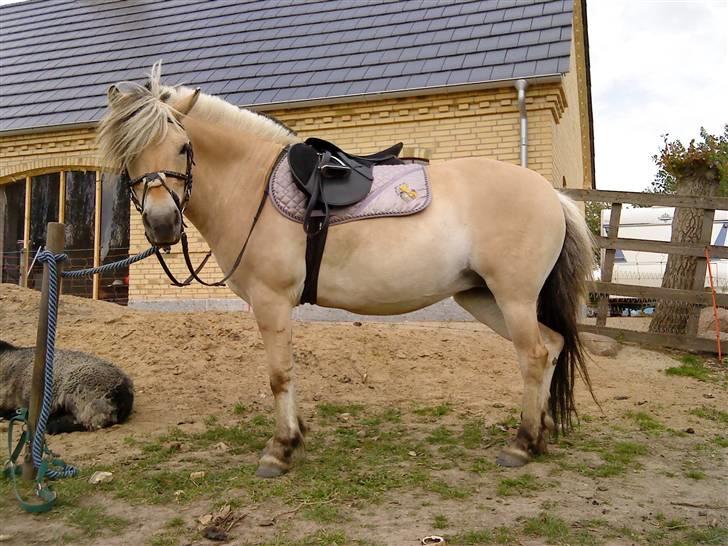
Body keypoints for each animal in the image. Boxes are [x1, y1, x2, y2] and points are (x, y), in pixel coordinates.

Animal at [96, 65, 596, 476]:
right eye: (129, 157)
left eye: (183, 148)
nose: (162, 225)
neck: (252, 184)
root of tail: (552, 195)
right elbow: (289, 371)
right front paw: (296, 436)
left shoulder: (271, 301)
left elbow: (279, 374)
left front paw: (280, 449)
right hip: (482, 297)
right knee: (551, 346)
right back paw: (540, 435)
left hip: (513, 298)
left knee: (533, 355)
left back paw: (521, 443)